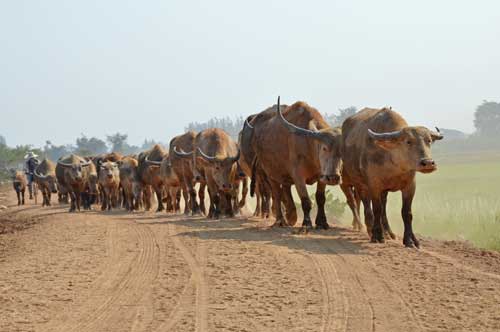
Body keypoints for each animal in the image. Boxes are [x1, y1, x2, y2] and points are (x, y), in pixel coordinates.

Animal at [250, 97, 344, 230]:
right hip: (271, 175)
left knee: (286, 188)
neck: (310, 145)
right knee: (277, 194)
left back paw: (291, 215)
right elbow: (305, 201)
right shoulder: (298, 176)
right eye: (324, 148)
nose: (333, 178)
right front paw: (307, 223)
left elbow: (320, 199)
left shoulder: (322, 176)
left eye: (342, 150)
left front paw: (322, 222)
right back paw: (280, 220)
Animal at [342, 106, 444, 246]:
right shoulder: (374, 185)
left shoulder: (410, 186)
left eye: (428, 140)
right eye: (408, 141)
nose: (428, 163)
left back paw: (388, 232)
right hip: (359, 184)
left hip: (383, 191)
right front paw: (377, 236)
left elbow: (406, 213)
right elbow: (376, 209)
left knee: (383, 207)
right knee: (366, 206)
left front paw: (410, 240)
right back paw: (370, 230)